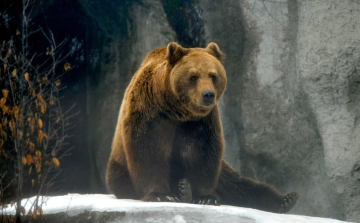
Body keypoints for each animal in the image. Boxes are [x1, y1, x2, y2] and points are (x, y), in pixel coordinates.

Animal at [105, 41, 300, 213]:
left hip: (224, 171)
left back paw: (286, 199)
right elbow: (149, 149)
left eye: (213, 75)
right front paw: (161, 195)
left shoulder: (201, 121)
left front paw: (204, 197)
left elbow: (203, 153)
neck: (175, 109)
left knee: (238, 184)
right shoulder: (151, 112)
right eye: (193, 76)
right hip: (119, 168)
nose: (208, 94)